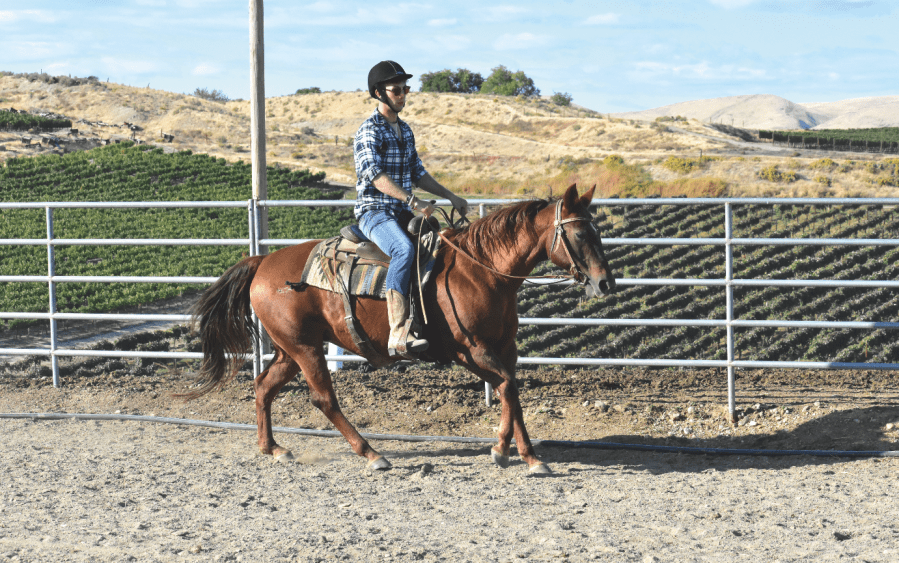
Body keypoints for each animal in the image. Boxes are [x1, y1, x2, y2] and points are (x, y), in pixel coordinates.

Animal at [186, 184, 616, 472]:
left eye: (597, 231)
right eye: (580, 233)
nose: (605, 284)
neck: (480, 270)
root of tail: (262, 261)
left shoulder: (504, 348)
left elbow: (512, 392)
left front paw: (519, 452)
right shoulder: (469, 350)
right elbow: (508, 388)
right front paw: (508, 451)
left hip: (290, 349)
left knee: (263, 387)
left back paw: (272, 448)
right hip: (305, 349)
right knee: (323, 399)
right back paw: (371, 454)